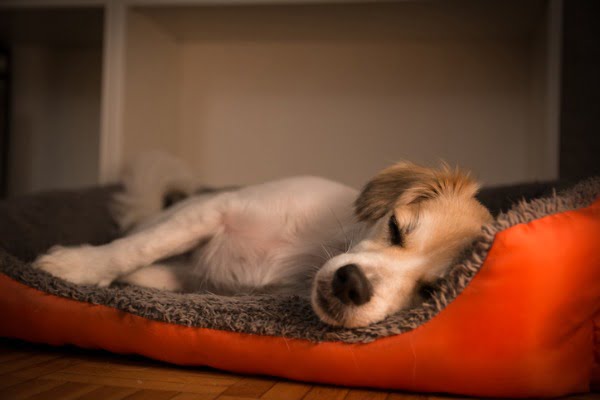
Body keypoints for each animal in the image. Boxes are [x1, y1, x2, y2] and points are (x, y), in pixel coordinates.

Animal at [34, 154, 492, 328]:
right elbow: (138, 248)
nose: (352, 284)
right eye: (395, 227)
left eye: (429, 292)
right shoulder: (214, 210)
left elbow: (155, 270)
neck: (306, 255)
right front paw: (77, 267)